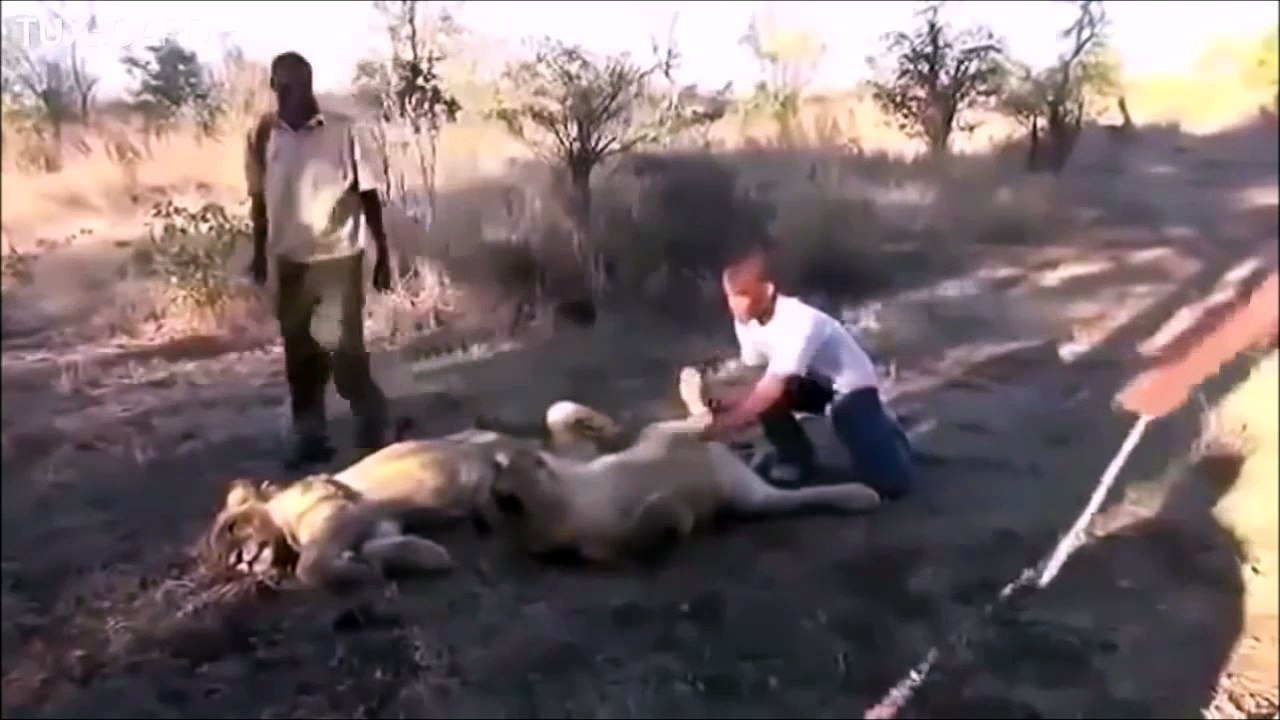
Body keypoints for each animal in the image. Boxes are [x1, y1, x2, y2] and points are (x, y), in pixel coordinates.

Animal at [202, 403, 626, 591]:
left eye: (233, 528)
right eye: (223, 560)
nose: (238, 560)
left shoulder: (339, 514)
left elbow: (311, 568)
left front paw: (356, 572)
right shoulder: (379, 527)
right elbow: (380, 550)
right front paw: (425, 556)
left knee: (562, 414)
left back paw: (607, 423)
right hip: (564, 467)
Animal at [486, 368, 882, 564]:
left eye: (531, 461)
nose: (527, 458)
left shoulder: (578, 460)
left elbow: (557, 411)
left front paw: (599, 424)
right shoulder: (610, 542)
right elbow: (662, 521)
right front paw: (675, 510)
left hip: (663, 431)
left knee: (703, 418)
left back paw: (693, 383)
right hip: (744, 492)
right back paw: (860, 494)